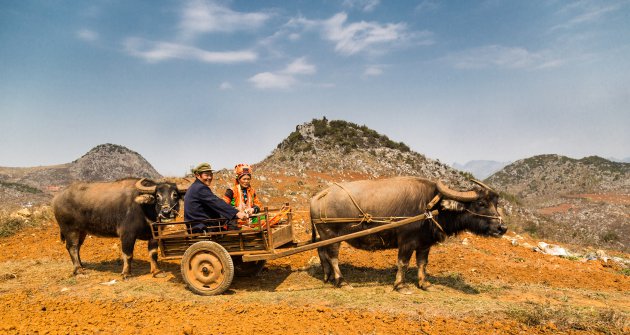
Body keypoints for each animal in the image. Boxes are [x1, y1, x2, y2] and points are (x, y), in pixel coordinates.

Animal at [53, 178, 188, 278]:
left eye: (175, 195)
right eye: (158, 196)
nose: (166, 212)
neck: (144, 209)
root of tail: (57, 198)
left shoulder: (153, 235)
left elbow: (153, 254)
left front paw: (157, 271)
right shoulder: (127, 234)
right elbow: (128, 254)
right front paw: (126, 273)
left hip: (82, 231)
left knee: (77, 247)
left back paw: (81, 265)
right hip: (70, 230)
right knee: (72, 247)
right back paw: (79, 270)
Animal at [312, 177, 508, 296]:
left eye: (496, 203)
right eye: (481, 203)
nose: (502, 227)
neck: (430, 206)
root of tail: (317, 197)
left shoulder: (424, 244)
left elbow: (422, 263)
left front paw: (424, 284)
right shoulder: (406, 242)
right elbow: (403, 263)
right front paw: (401, 285)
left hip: (323, 236)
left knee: (322, 253)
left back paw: (327, 277)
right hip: (331, 235)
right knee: (333, 257)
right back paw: (341, 281)